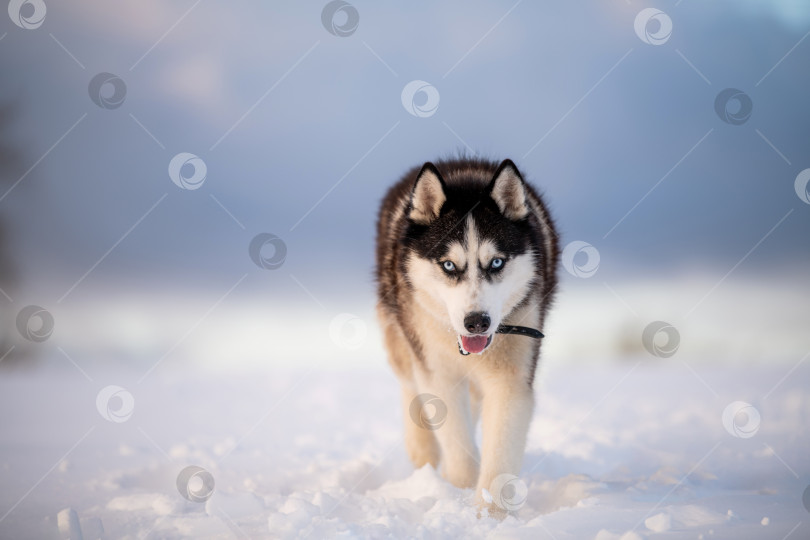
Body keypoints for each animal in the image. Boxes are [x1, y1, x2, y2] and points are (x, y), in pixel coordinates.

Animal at [372, 157, 556, 516]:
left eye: (496, 262)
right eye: (448, 265)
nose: (476, 323)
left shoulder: (511, 380)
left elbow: (499, 456)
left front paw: (490, 515)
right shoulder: (438, 373)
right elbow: (456, 444)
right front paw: (459, 490)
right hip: (402, 338)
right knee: (409, 384)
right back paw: (422, 451)